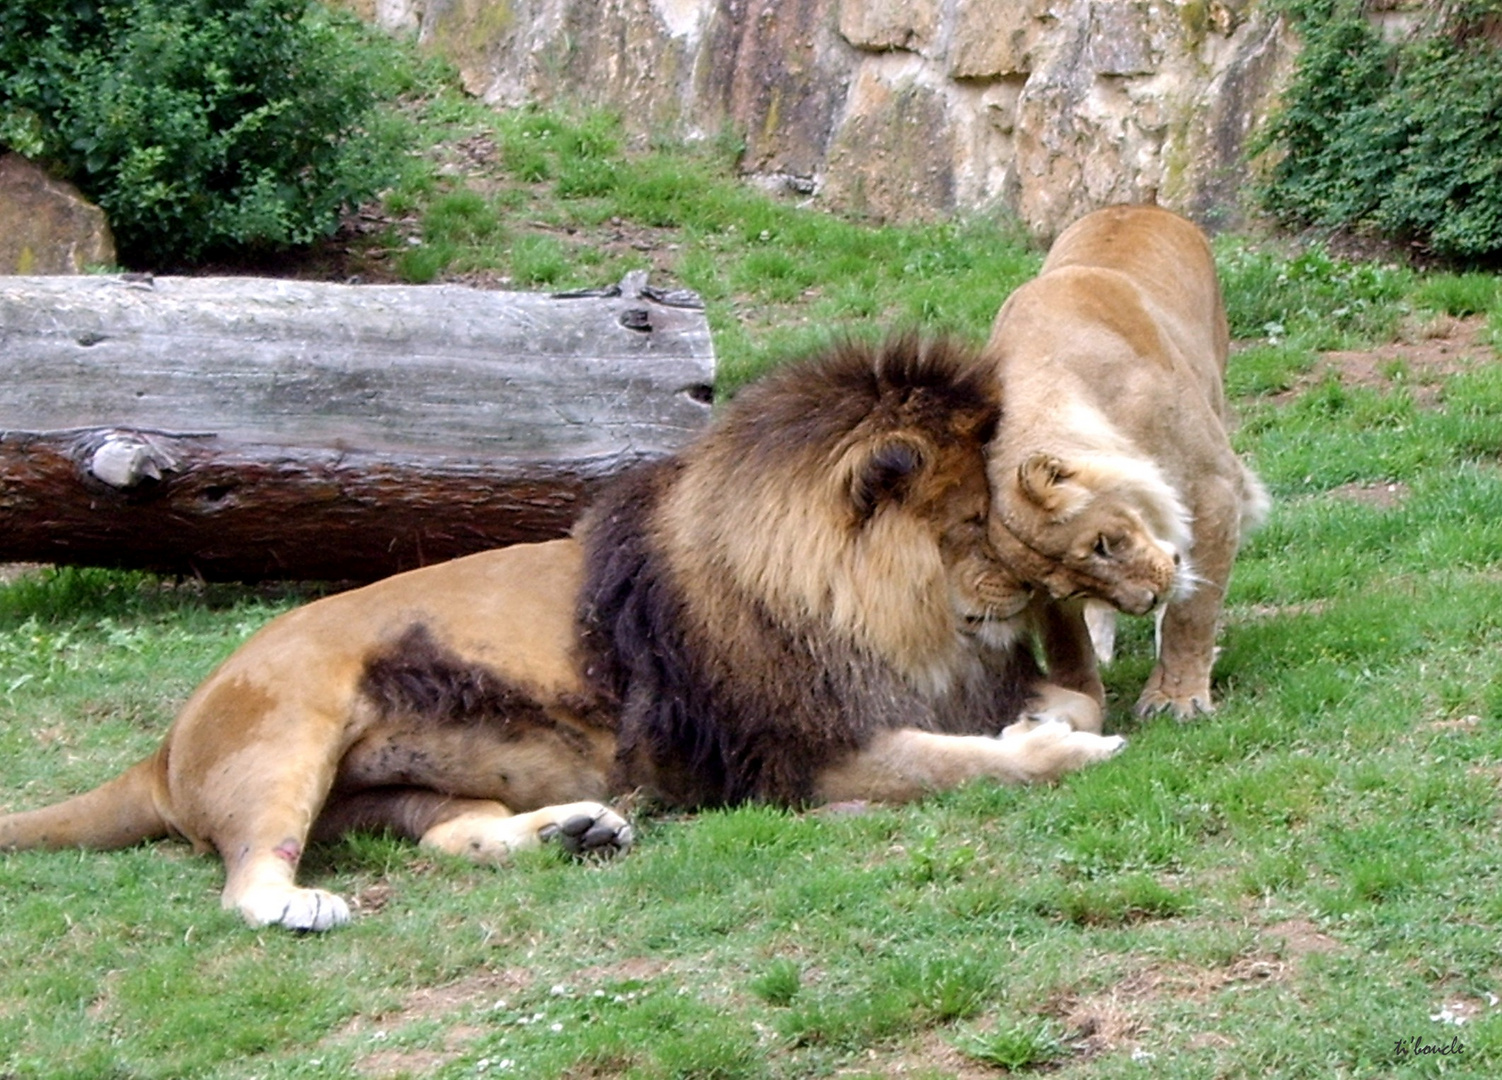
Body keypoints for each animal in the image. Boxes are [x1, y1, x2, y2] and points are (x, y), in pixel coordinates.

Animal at [2, 336, 1129, 931]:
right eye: (974, 521)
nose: (1031, 584)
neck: (875, 617)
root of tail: (163, 750)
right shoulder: (794, 757)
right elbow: (964, 762)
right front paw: (1060, 753)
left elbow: (1062, 697)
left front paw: (1048, 717)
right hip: (289, 731)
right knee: (245, 879)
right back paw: (302, 905)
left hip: (397, 788)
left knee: (446, 836)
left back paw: (569, 832)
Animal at [985, 208, 1267, 721]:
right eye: (1071, 589)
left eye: (1103, 543)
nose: (1145, 601)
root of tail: (1136, 206)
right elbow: (1064, 639)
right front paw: (1078, 697)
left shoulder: (1214, 489)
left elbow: (1192, 610)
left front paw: (1177, 696)